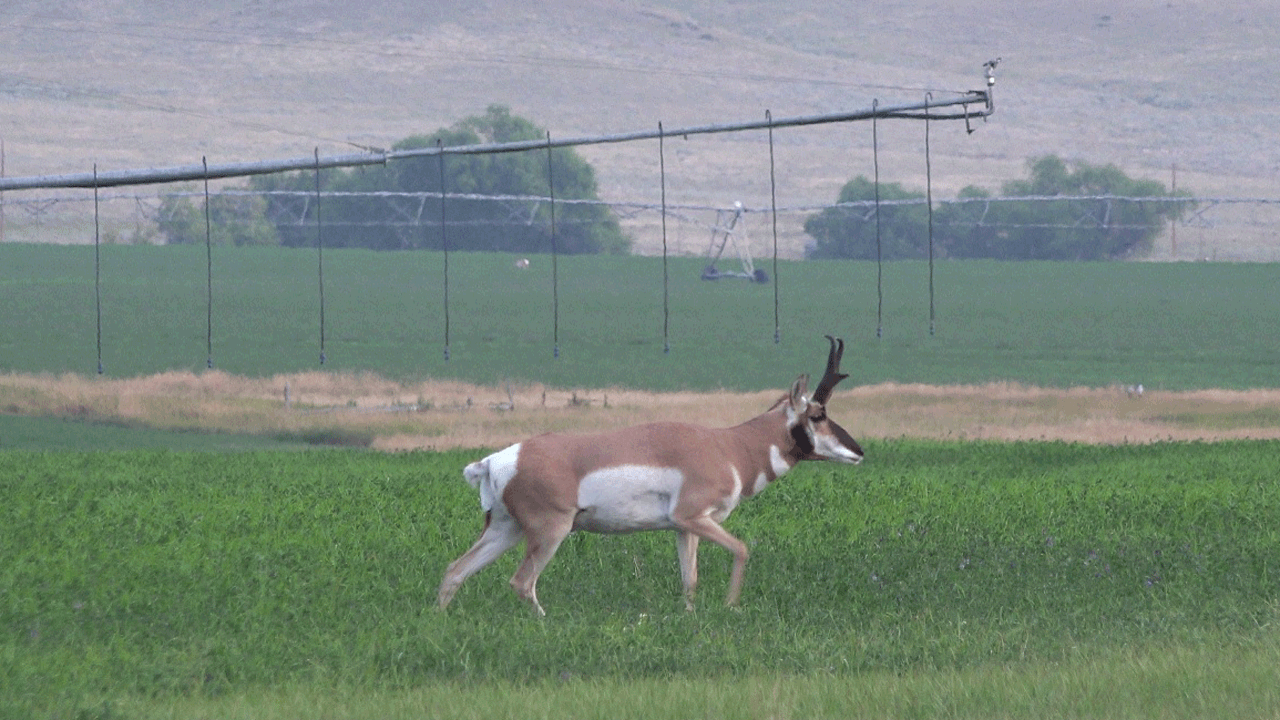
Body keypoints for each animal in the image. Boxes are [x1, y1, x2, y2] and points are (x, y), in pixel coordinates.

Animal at [435, 335, 865, 609]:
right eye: (818, 414)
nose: (859, 452)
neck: (728, 446)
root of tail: (497, 460)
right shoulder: (694, 517)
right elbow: (742, 549)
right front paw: (730, 608)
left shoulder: (683, 528)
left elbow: (690, 580)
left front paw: (690, 619)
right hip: (549, 531)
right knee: (522, 583)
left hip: (505, 529)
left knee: (455, 570)